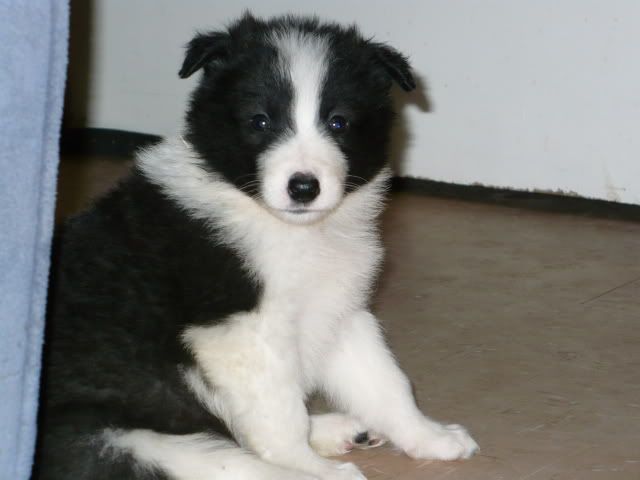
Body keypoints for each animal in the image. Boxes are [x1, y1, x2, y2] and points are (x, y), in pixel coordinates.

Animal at [35, 12, 476, 480]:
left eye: (338, 122)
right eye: (260, 121)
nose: (303, 187)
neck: (288, 227)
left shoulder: (338, 309)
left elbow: (385, 382)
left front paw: (430, 436)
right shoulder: (240, 334)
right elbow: (281, 415)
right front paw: (310, 466)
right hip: (129, 441)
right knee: (236, 462)